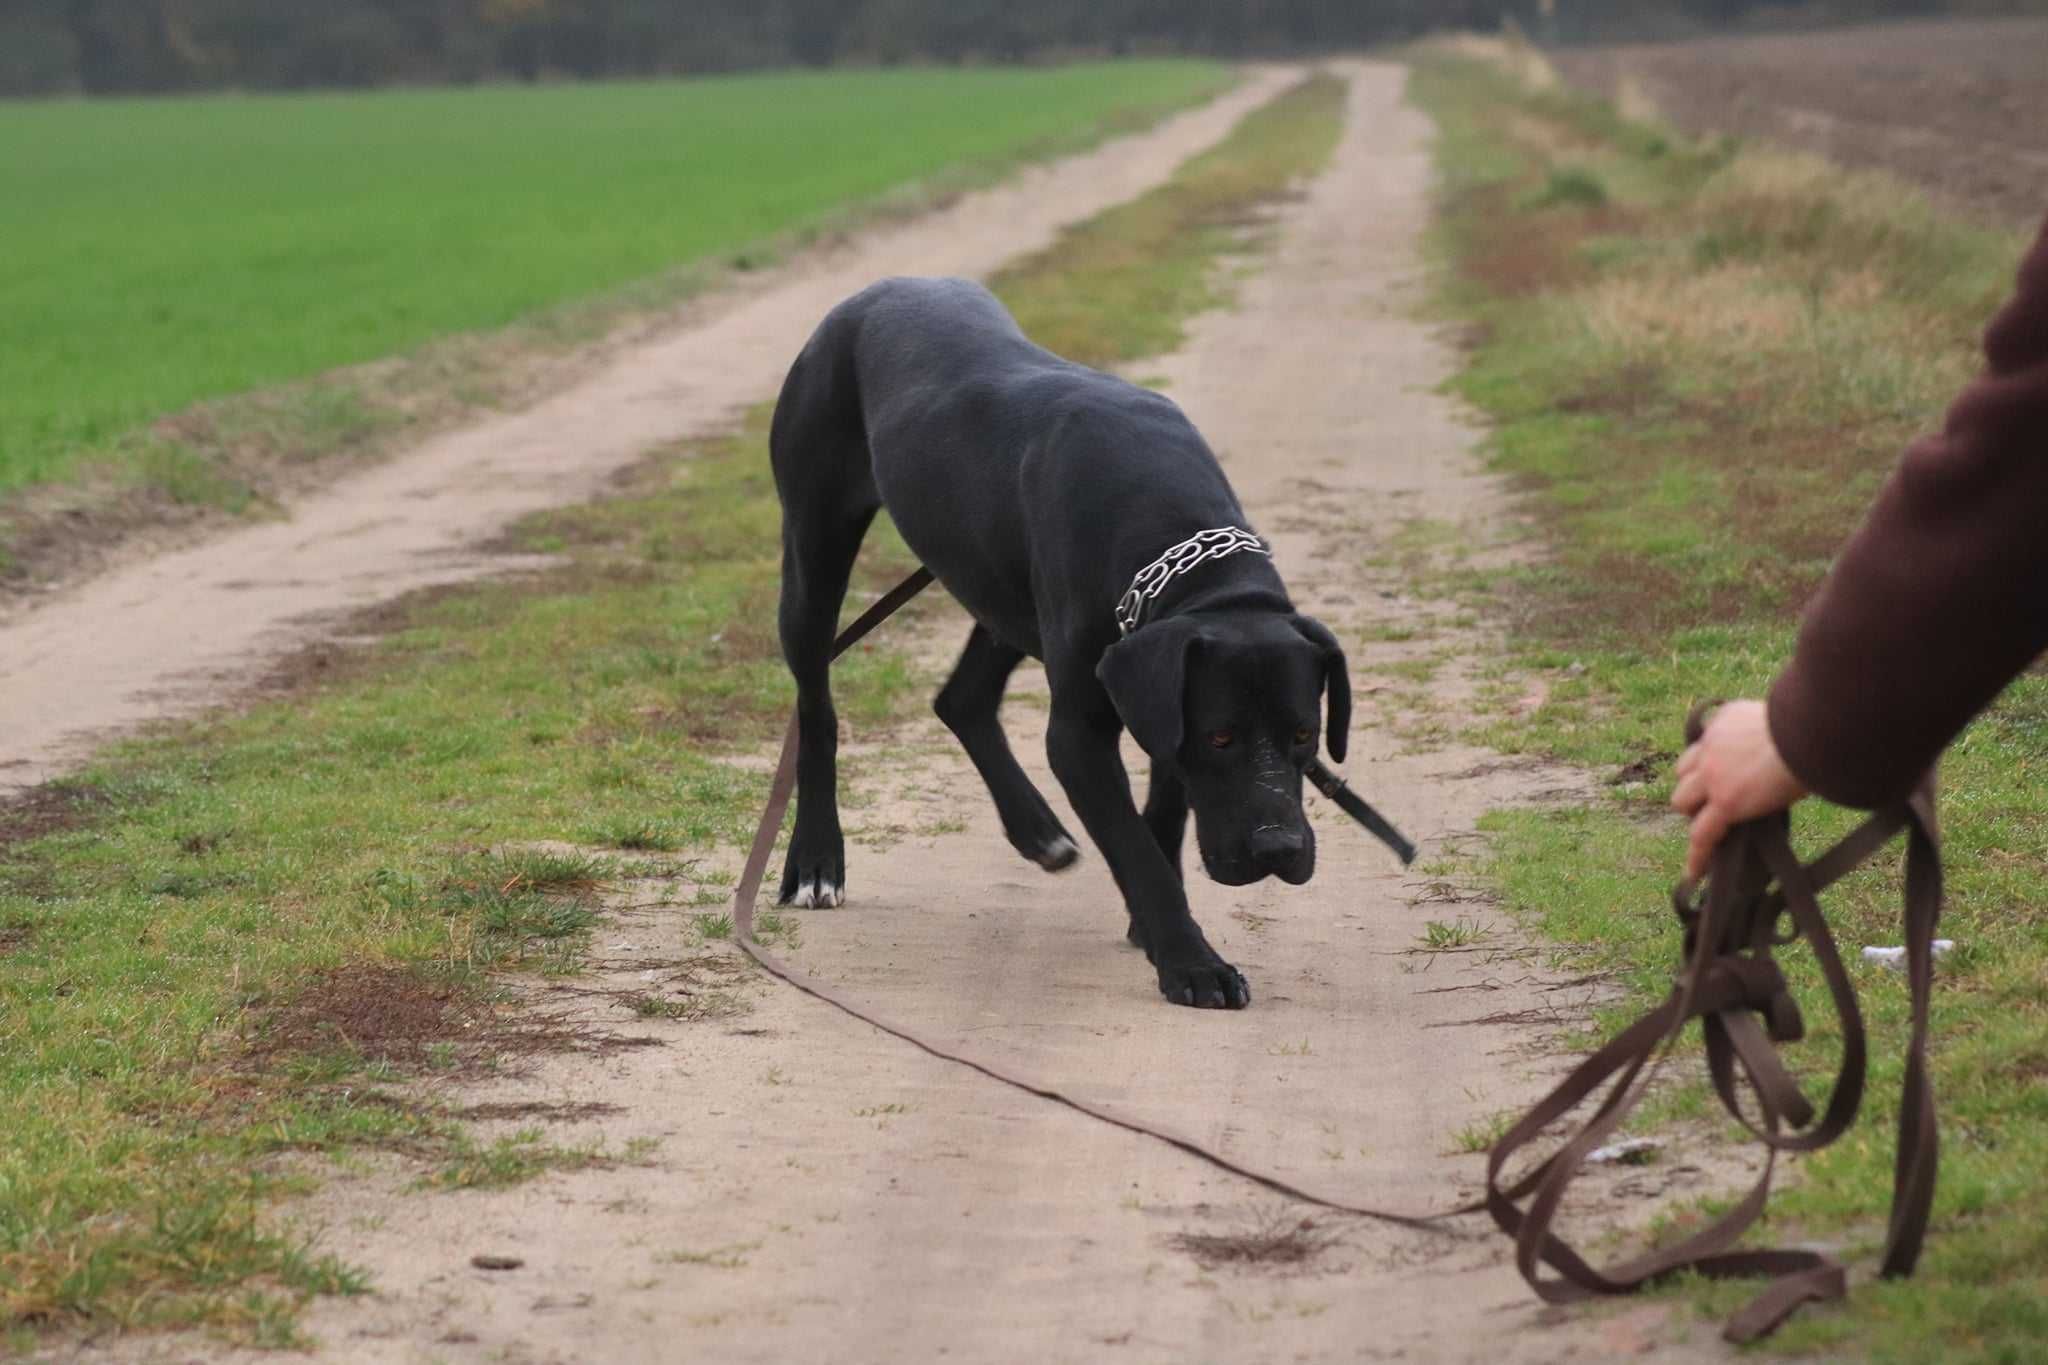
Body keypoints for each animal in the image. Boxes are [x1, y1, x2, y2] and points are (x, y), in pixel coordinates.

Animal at [765, 278, 1343, 1010]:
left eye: (1304, 736)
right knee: (817, 709)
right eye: (1221, 738)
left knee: (962, 698)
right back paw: (816, 858)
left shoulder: (1156, 689)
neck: (1179, 551)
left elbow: (1159, 821)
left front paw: (1155, 930)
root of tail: (870, 293)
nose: (1276, 850)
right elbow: (1135, 845)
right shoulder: (1085, 733)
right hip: (815, 552)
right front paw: (1192, 963)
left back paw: (1036, 829)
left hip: (1003, 589)